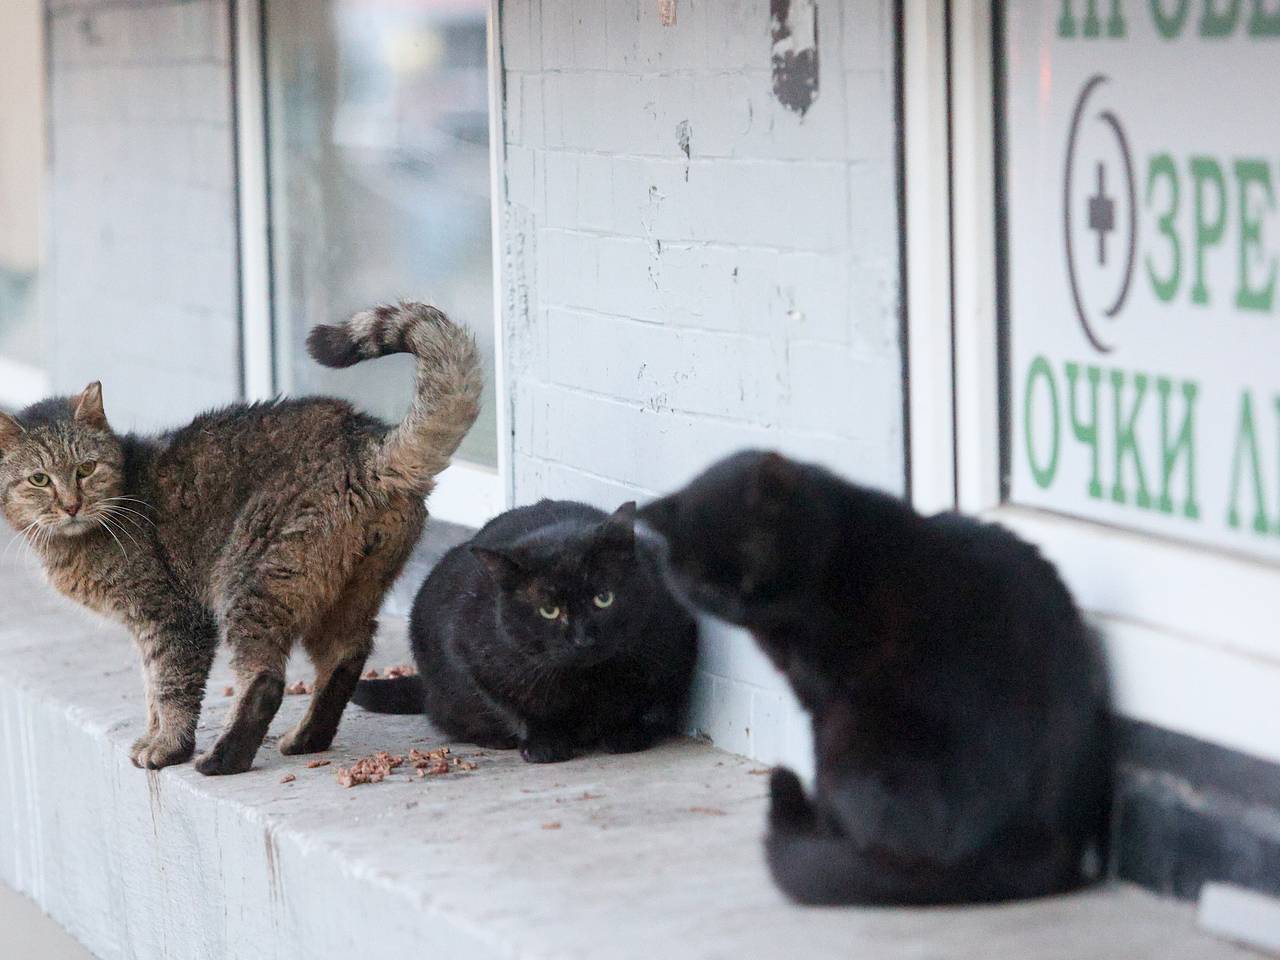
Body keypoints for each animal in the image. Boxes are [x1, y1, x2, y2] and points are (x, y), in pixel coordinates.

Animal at [0, 304, 481, 778]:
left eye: (85, 469)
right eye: (39, 479)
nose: (71, 505)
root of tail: (366, 443)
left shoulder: (172, 617)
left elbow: (169, 687)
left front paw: (167, 746)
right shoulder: (145, 627)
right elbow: (151, 687)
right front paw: (152, 735)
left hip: (249, 580)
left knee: (266, 678)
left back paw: (224, 758)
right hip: (346, 594)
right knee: (344, 658)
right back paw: (308, 738)